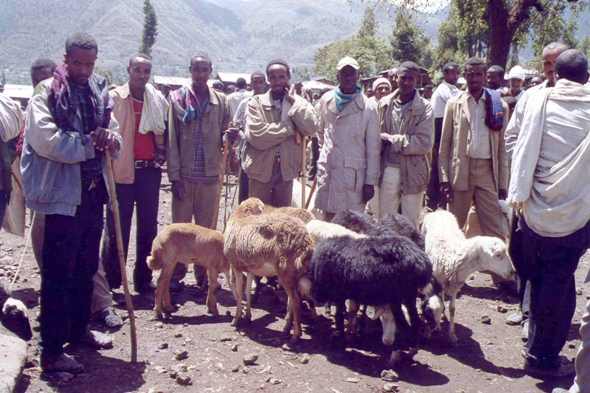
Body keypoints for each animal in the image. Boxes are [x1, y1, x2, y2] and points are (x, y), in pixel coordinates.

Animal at [223, 198, 316, 342]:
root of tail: (305, 244)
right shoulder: (250, 269)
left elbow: (239, 293)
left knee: (295, 300)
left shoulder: (237, 266)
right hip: (296, 274)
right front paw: (248, 317)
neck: (240, 217)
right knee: (293, 299)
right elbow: (247, 291)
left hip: (286, 272)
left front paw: (236, 320)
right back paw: (287, 328)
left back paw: (295, 335)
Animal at [312, 233, 438, 364]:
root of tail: (420, 262)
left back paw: (394, 357)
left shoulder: (339, 294)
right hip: (409, 296)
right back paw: (411, 352)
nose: (315, 296)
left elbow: (339, 317)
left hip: (396, 298)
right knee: (415, 322)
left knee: (402, 325)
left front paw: (341, 339)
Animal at [424, 210, 516, 344]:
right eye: (498, 254)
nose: (511, 272)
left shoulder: (454, 283)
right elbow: (434, 303)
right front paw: (432, 329)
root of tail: (439, 211)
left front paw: (452, 334)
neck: (453, 255)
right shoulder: (435, 280)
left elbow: (452, 308)